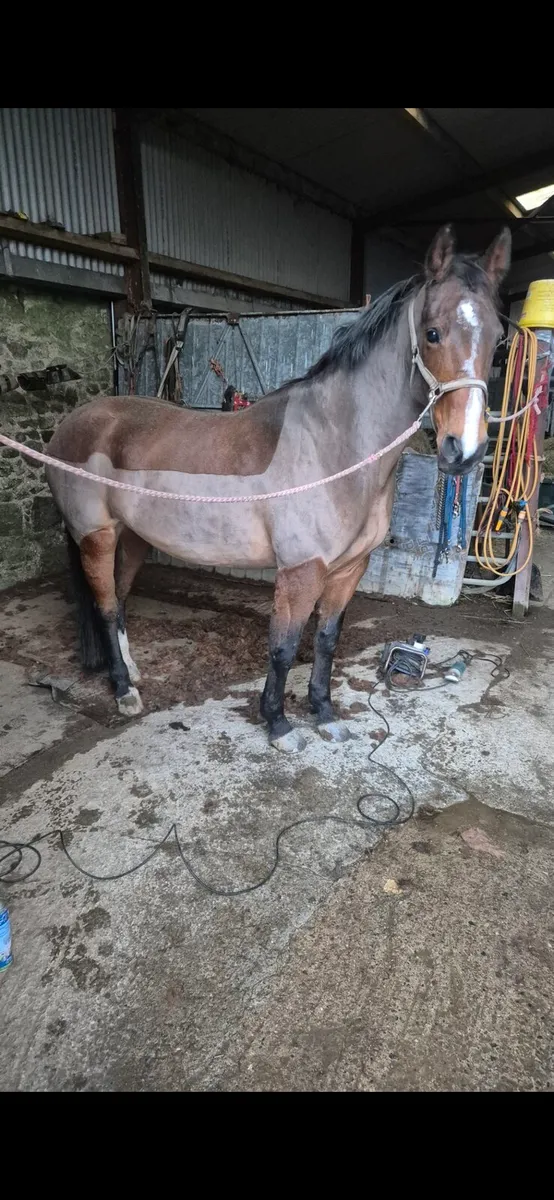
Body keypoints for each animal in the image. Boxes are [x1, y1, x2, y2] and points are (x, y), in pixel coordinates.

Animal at [46, 224, 510, 752]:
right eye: (432, 333)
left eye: (499, 341)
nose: (464, 450)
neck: (334, 445)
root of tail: (70, 427)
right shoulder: (300, 572)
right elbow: (284, 648)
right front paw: (278, 724)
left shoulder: (348, 569)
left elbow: (326, 641)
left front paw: (325, 714)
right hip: (97, 537)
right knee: (104, 608)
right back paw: (124, 692)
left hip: (134, 538)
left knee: (120, 602)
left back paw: (131, 672)